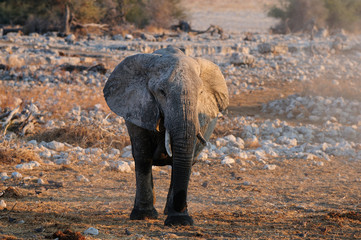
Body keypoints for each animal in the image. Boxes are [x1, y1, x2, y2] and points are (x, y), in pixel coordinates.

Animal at [102, 46, 228, 226]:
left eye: (201, 92)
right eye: (161, 92)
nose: (182, 209)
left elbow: (182, 160)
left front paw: (179, 220)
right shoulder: (138, 108)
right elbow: (142, 156)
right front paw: (144, 216)